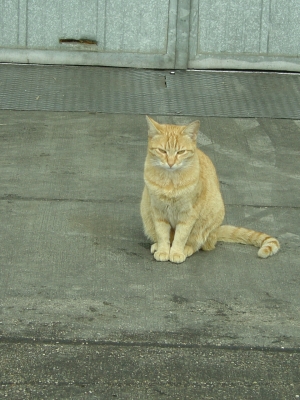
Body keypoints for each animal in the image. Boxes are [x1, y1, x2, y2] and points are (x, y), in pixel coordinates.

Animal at [140, 115, 278, 264]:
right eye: (162, 151)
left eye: (181, 152)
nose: (170, 163)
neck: (170, 180)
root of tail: (216, 231)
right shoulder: (158, 210)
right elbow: (162, 234)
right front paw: (163, 250)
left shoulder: (188, 214)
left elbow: (181, 236)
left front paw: (176, 252)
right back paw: (157, 246)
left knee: (201, 243)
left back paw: (187, 249)